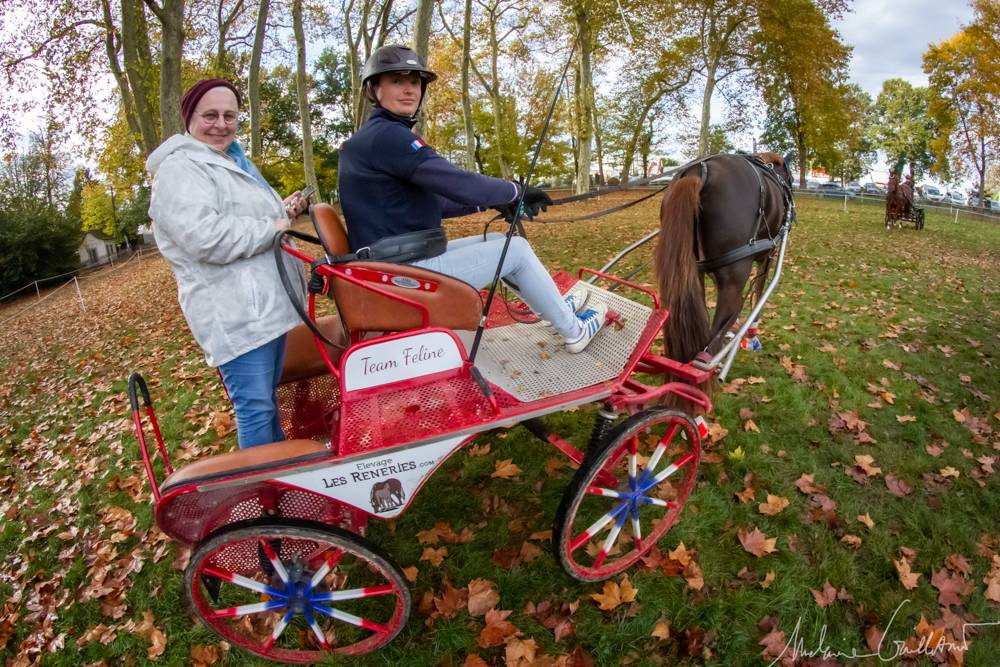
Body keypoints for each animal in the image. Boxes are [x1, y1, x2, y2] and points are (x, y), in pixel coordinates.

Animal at [653, 151, 794, 370]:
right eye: (791, 178)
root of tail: (699, 171)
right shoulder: (768, 254)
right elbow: (758, 293)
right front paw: (752, 336)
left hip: (693, 273)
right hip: (734, 277)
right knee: (711, 341)